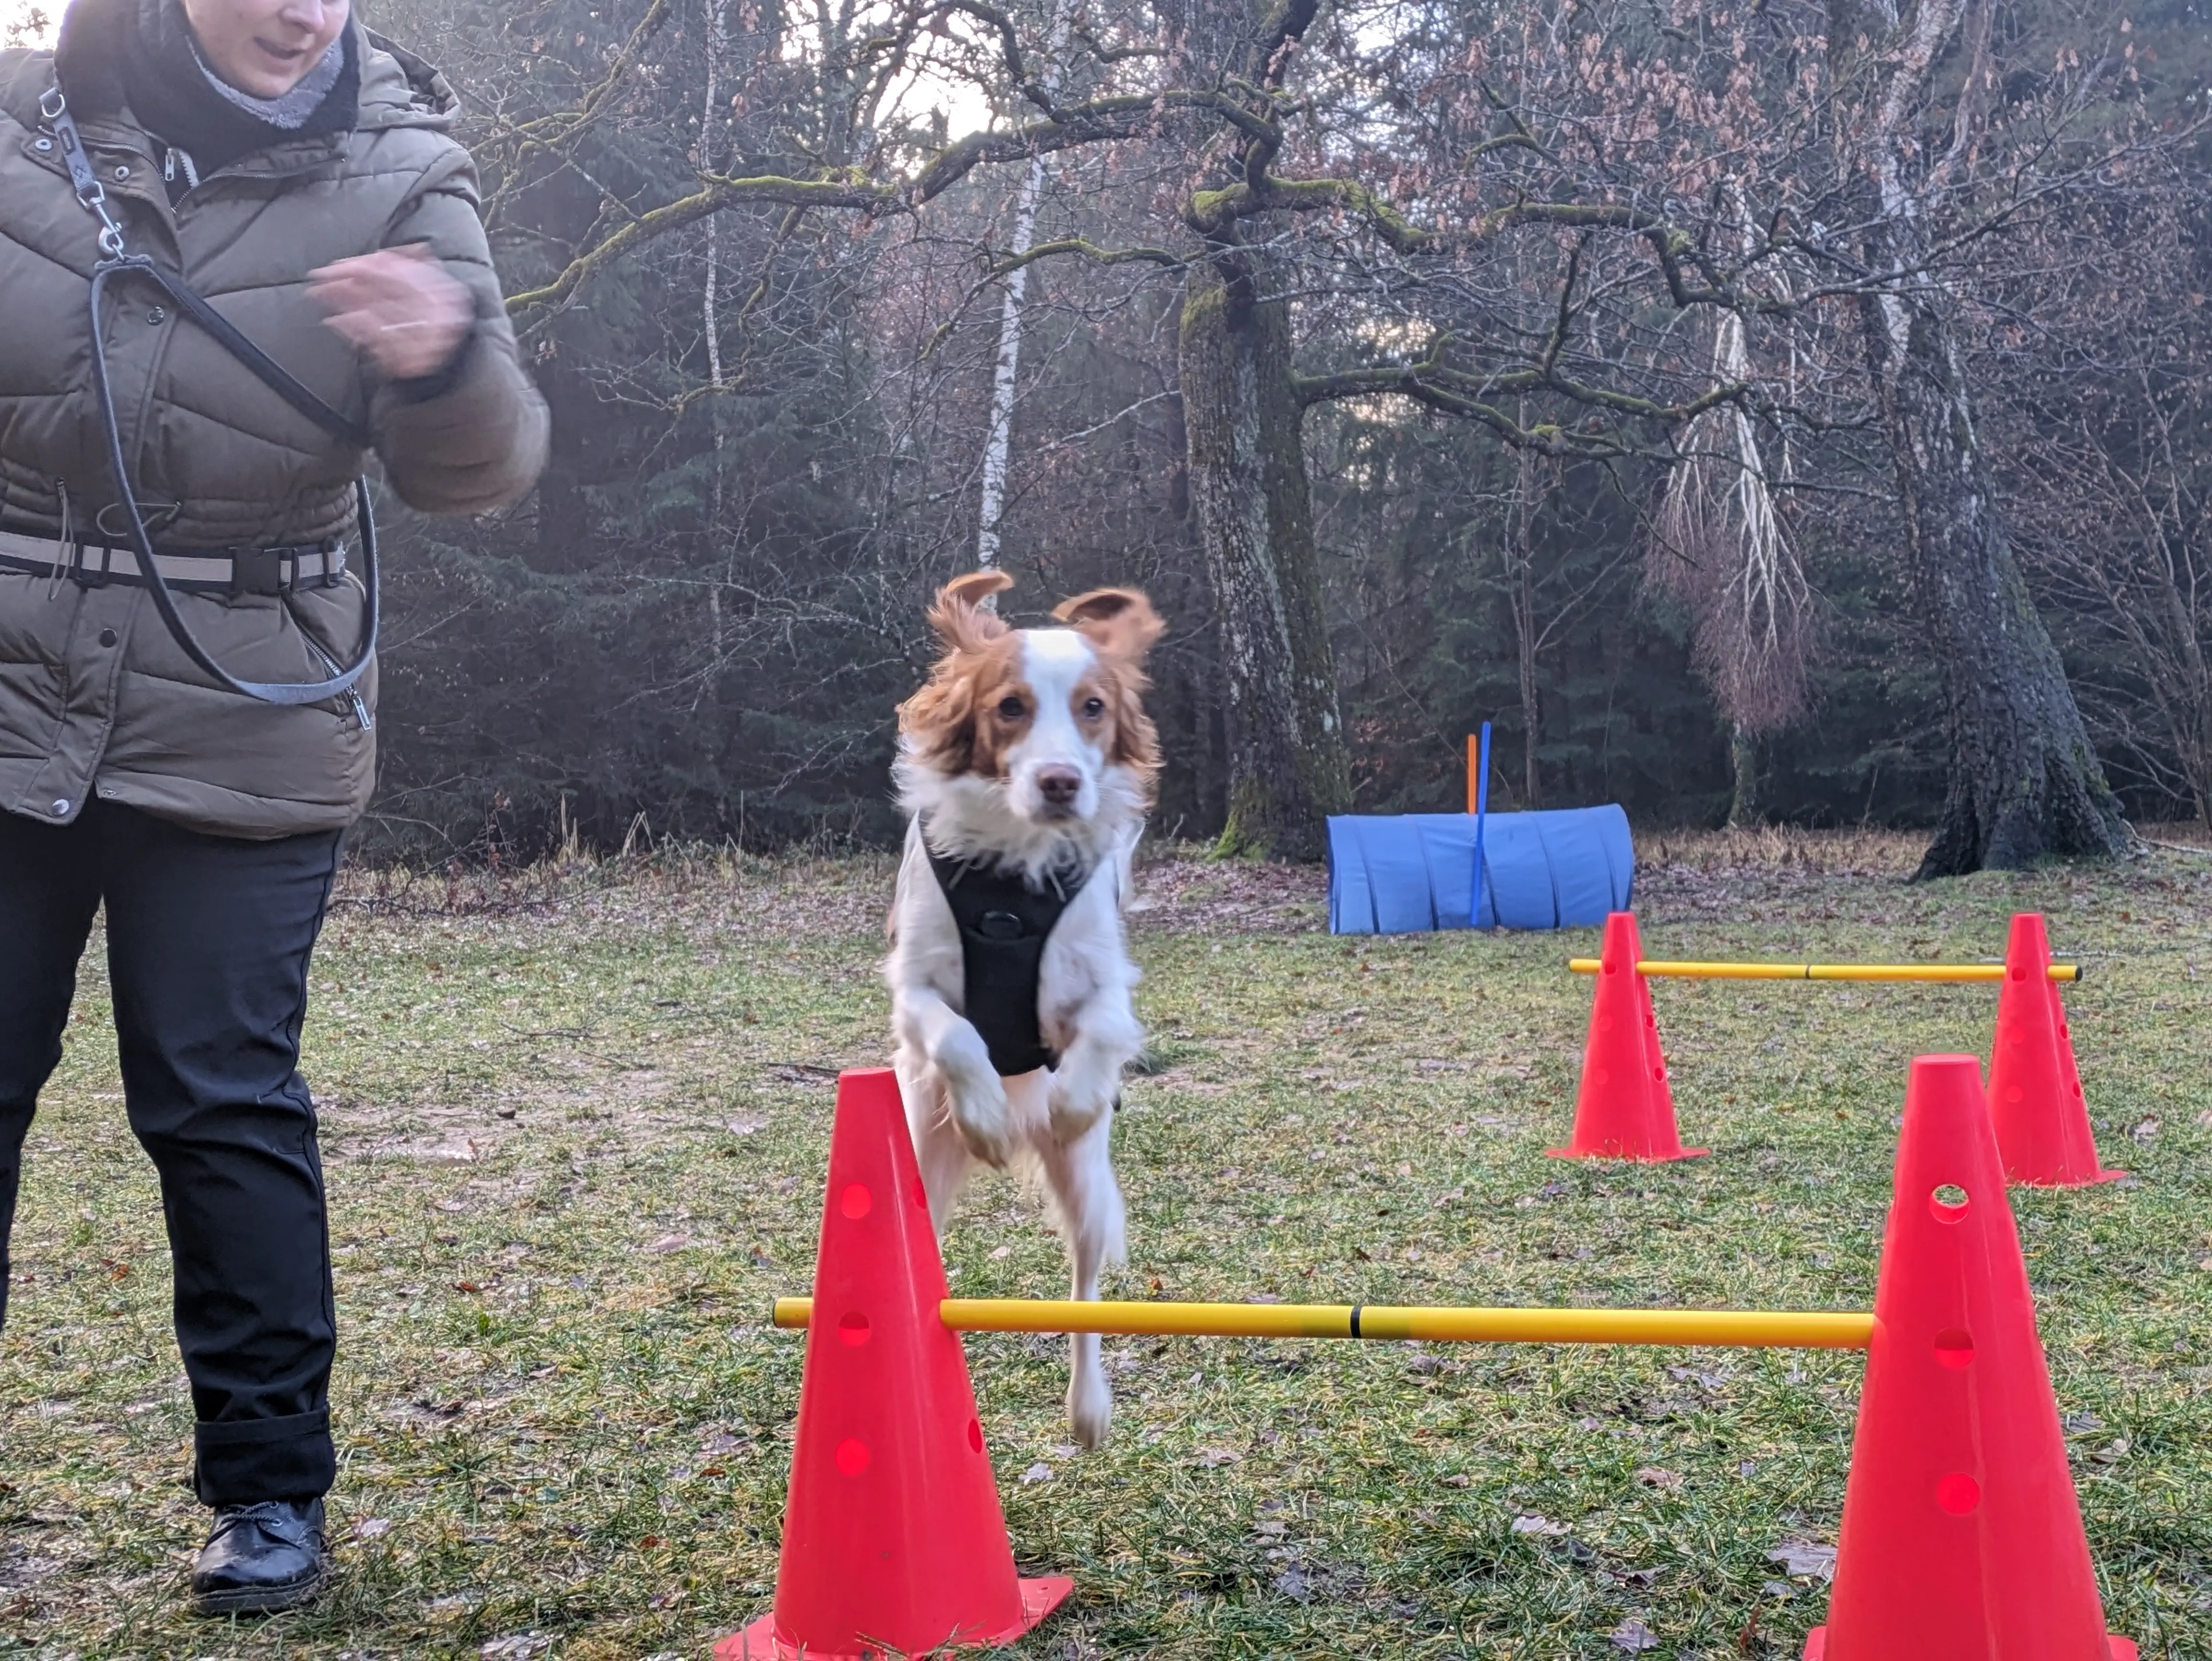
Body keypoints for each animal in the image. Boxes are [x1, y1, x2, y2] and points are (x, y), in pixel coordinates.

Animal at [885, 570, 1168, 1442]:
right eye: (1009, 706)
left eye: (1093, 707)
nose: (1060, 782)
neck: (1013, 874)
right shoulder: (912, 983)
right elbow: (954, 1037)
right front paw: (984, 1117)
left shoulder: (1103, 978)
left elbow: (1101, 1031)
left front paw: (1071, 1099)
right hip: (920, 1162)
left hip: (1087, 1190)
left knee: (1084, 1289)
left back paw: (1088, 1407)